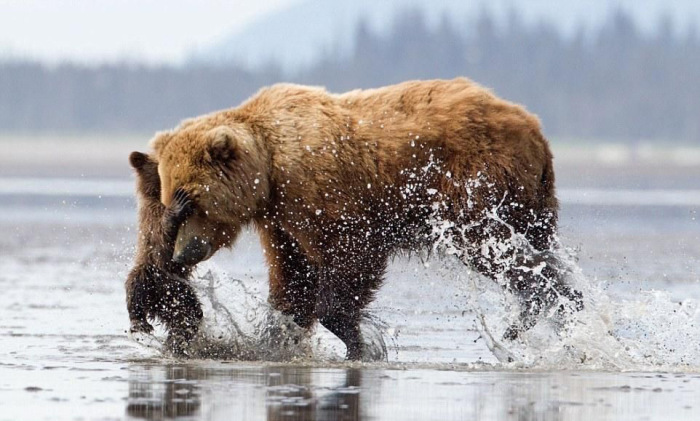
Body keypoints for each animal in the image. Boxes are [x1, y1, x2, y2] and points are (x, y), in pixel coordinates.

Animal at [124, 151, 202, 354]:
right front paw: (178, 205)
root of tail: (157, 304)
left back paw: (177, 339)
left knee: (192, 313)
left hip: (180, 291)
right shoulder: (151, 216)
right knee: (135, 287)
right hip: (149, 272)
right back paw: (139, 324)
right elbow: (162, 235)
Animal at [146, 77, 580, 360]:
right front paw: (278, 336)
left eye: (191, 203)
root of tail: (535, 128)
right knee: (535, 245)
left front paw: (357, 339)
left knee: (495, 247)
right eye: (169, 200)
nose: (182, 254)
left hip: (476, 185)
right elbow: (292, 275)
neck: (268, 171)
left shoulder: (324, 194)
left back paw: (534, 309)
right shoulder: (280, 220)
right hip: (531, 200)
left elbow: (351, 260)